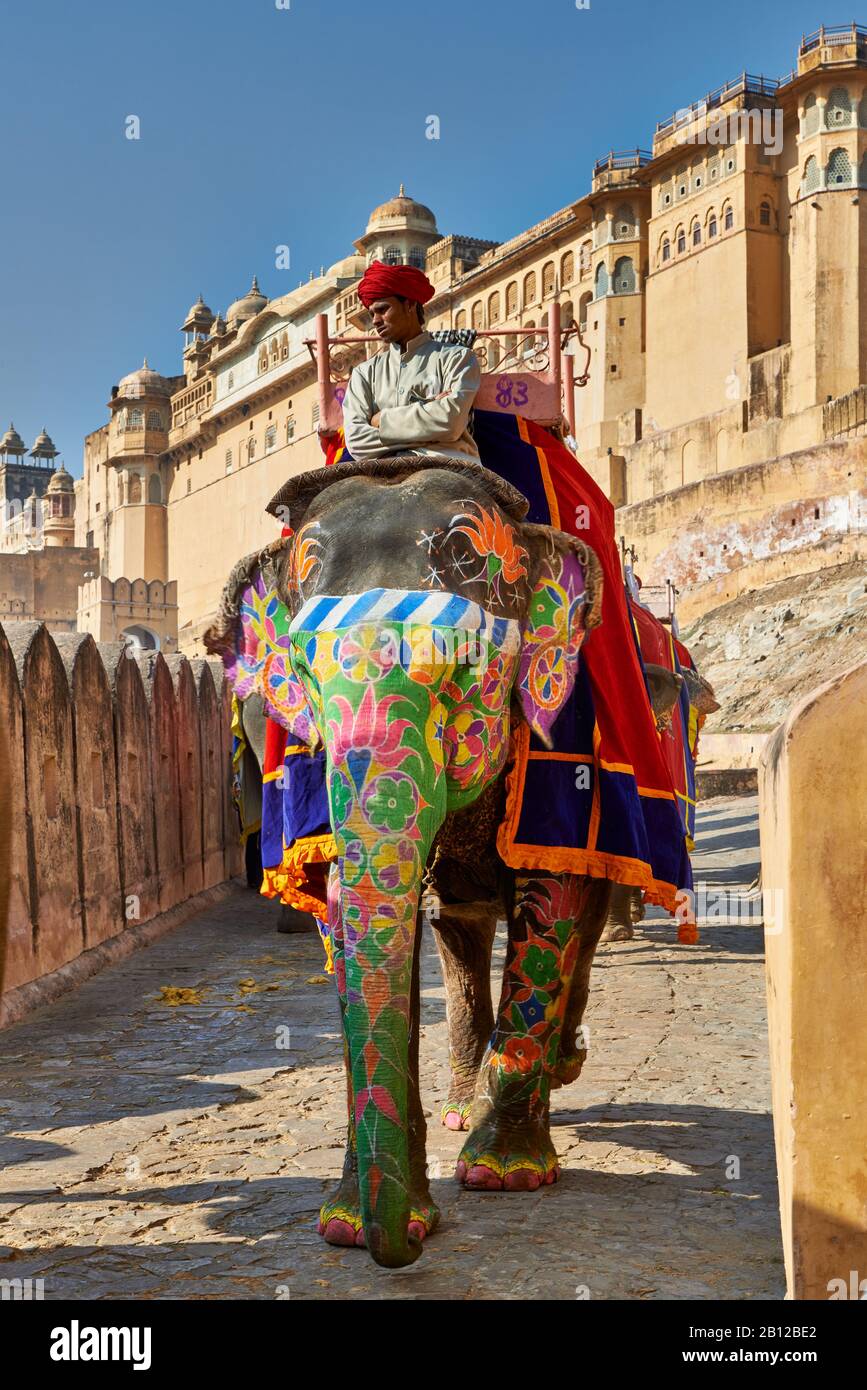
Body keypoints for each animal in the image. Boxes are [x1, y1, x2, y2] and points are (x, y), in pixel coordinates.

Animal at [207, 458, 616, 1273]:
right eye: (306, 685)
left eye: (461, 676)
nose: (401, 1247)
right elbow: (341, 903)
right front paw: (344, 1223)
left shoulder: (564, 751)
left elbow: (552, 897)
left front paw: (503, 1176)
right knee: (459, 930)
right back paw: (464, 1106)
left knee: (580, 926)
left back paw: (554, 1073)